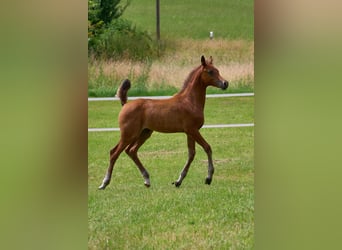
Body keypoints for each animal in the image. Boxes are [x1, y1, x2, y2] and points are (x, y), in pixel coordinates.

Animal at [97, 56, 228, 189]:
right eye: (210, 71)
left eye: (217, 70)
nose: (225, 83)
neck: (189, 101)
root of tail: (125, 104)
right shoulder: (193, 130)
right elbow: (207, 147)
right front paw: (208, 178)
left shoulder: (190, 132)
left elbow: (191, 154)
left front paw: (178, 181)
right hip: (128, 134)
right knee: (114, 153)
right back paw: (104, 183)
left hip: (144, 133)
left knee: (131, 151)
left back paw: (147, 180)